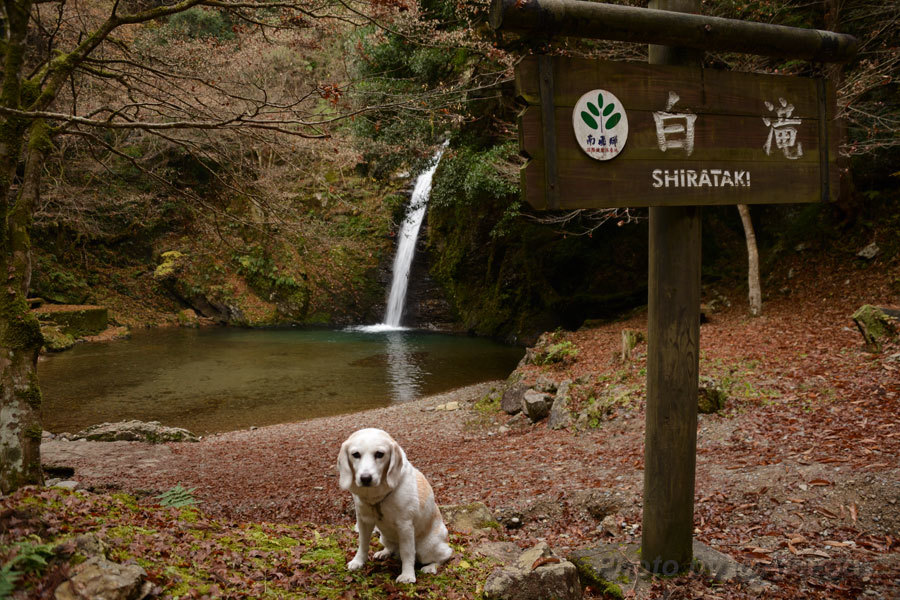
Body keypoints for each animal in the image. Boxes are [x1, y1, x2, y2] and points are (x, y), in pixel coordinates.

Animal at [336, 428, 454, 584]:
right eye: (355, 454)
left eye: (379, 454)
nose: (365, 478)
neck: (377, 497)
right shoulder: (364, 521)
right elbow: (363, 544)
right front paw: (358, 561)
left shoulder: (405, 526)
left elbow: (407, 553)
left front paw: (407, 575)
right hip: (384, 537)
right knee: (391, 548)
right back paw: (384, 552)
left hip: (428, 548)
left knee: (445, 555)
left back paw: (431, 567)